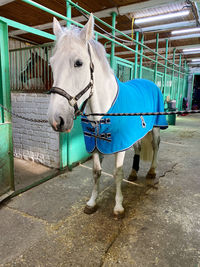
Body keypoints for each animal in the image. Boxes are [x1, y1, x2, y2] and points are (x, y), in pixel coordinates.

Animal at [48, 14, 162, 220]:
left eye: (79, 63)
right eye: (51, 63)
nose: (56, 119)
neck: (102, 112)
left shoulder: (120, 144)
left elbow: (117, 174)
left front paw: (118, 206)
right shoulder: (94, 143)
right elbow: (96, 172)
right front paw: (92, 203)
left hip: (156, 126)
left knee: (156, 145)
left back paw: (151, 171)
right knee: (139, 147)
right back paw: (134, 173)